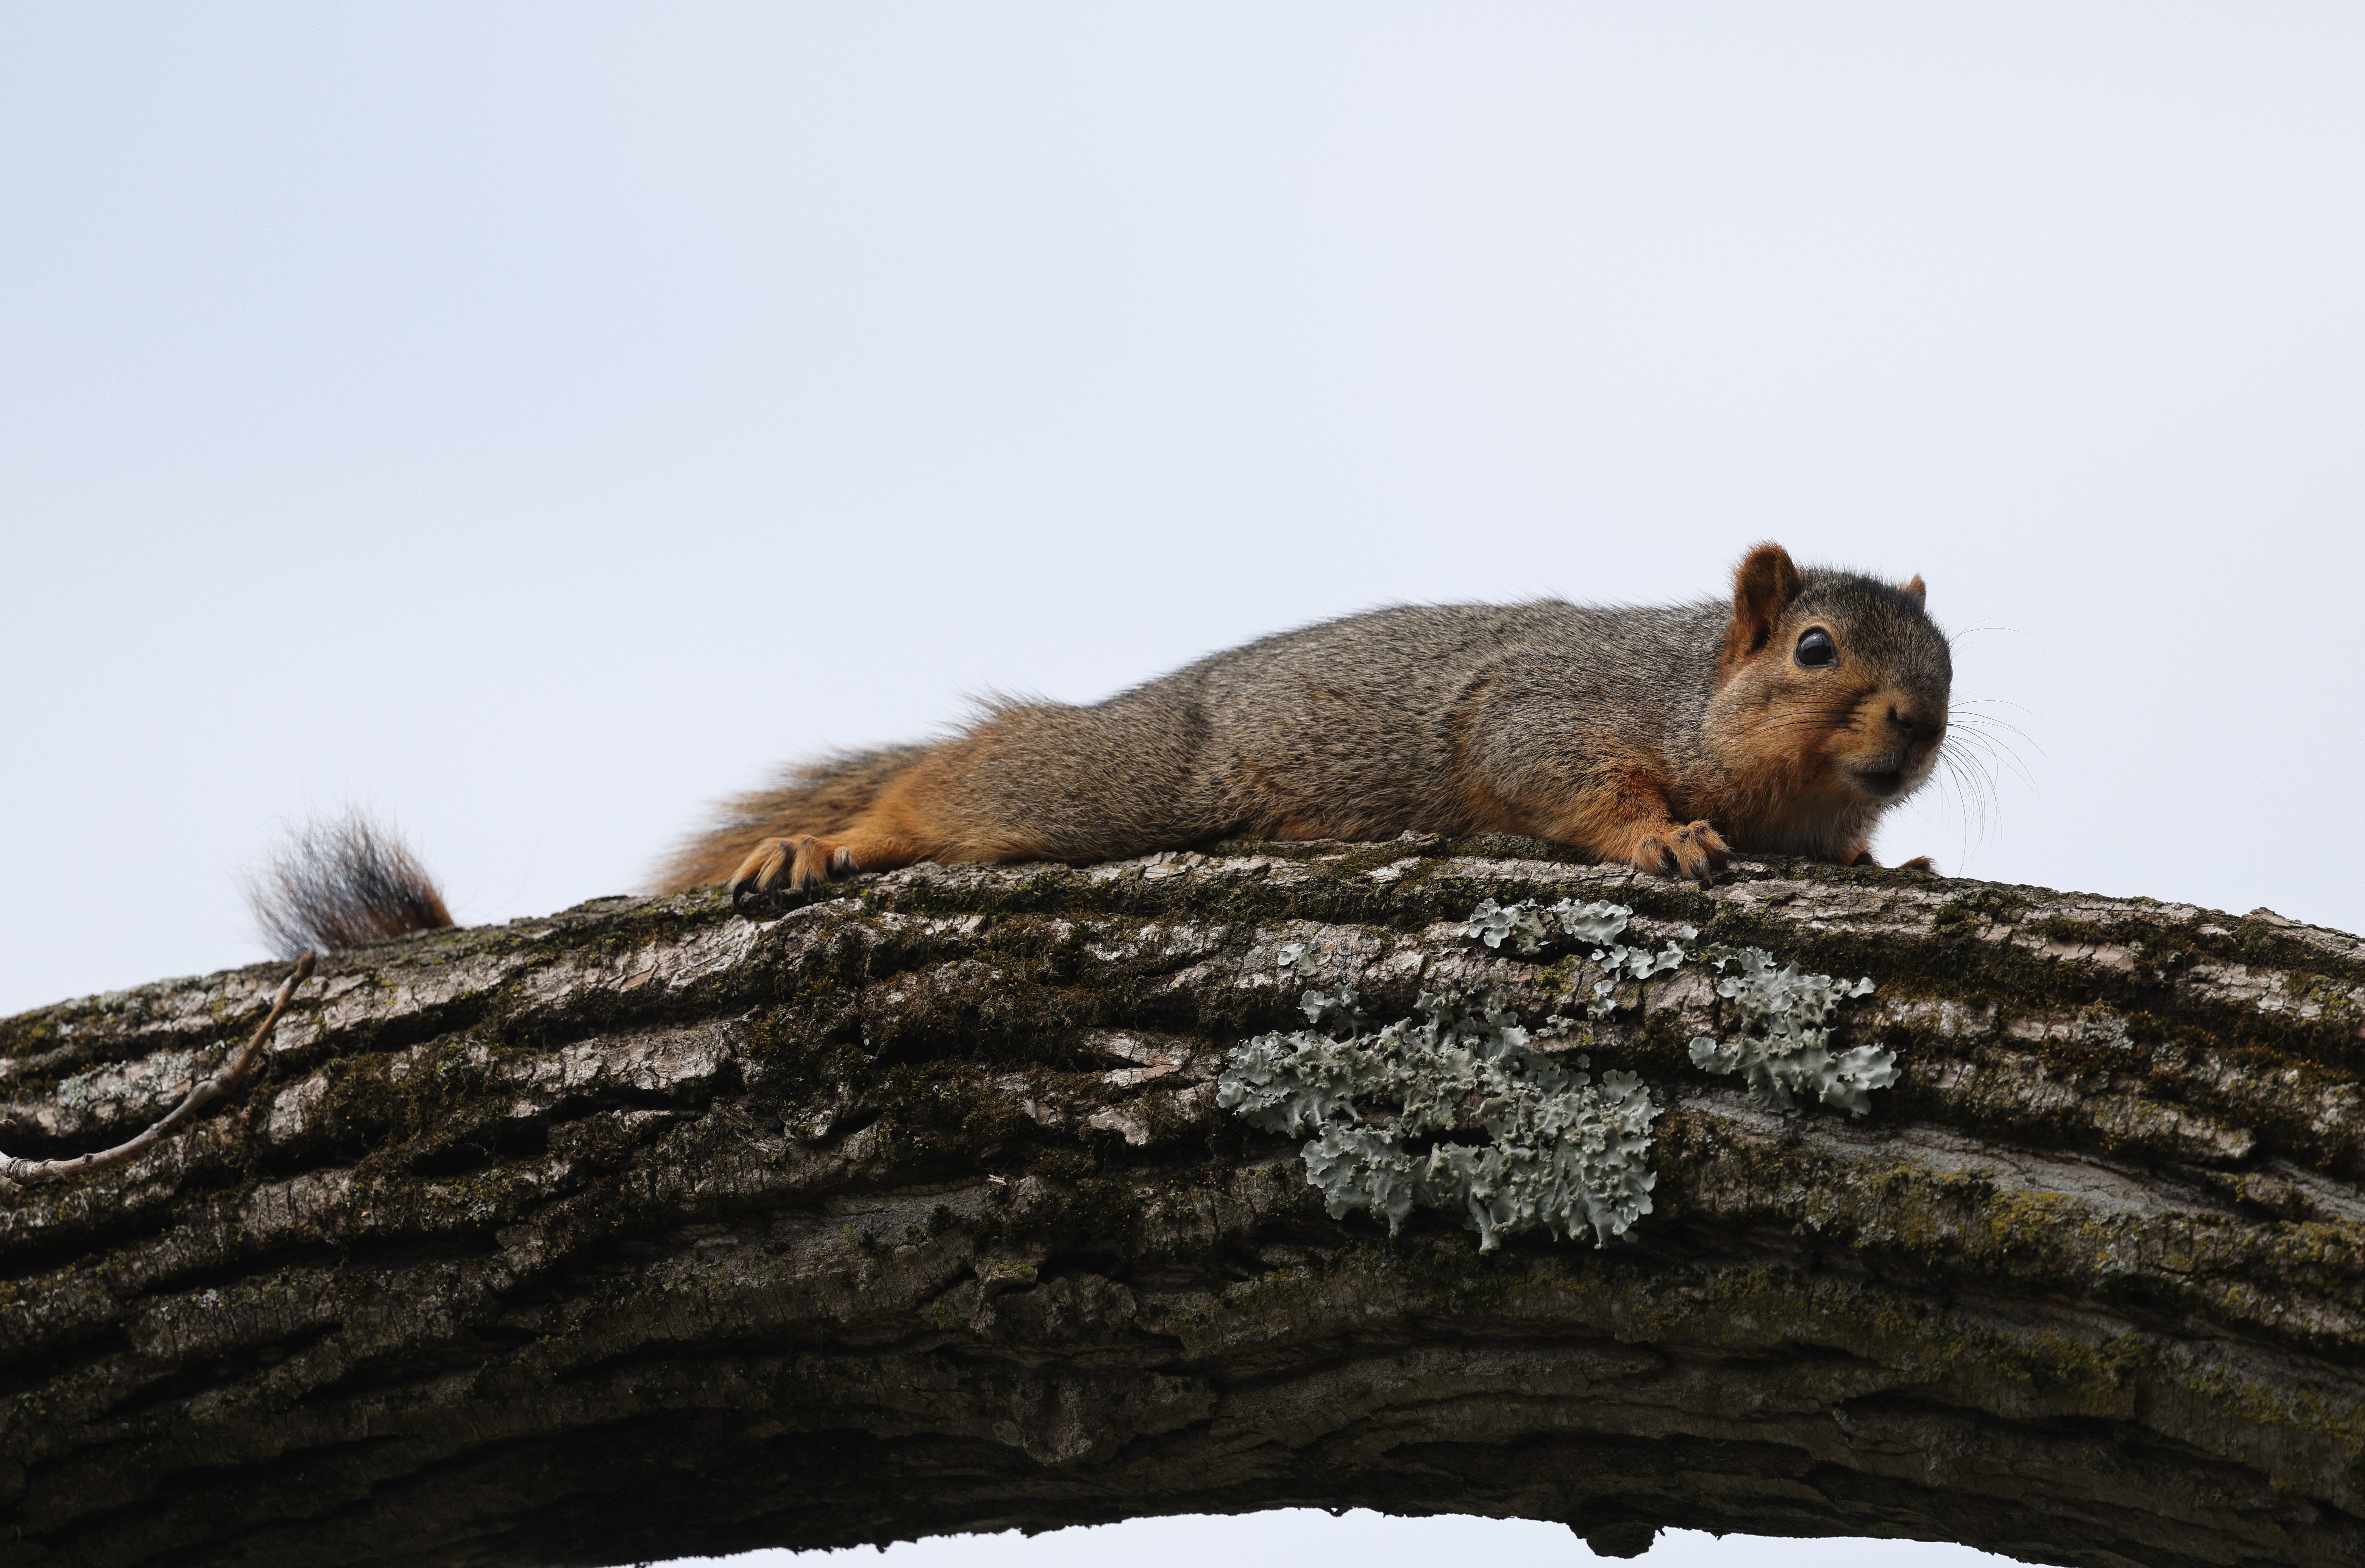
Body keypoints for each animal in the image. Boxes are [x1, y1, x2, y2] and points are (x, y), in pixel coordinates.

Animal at [653, 543, 1949, 900]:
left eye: (1948, 656)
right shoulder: (1548, 710)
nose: (1922, 722)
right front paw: (1661, 835)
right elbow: (1562, 780)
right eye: (1814, 648)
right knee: (944, 797)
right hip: (1096, 783)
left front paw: (1894, 857)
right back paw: (822, 844)